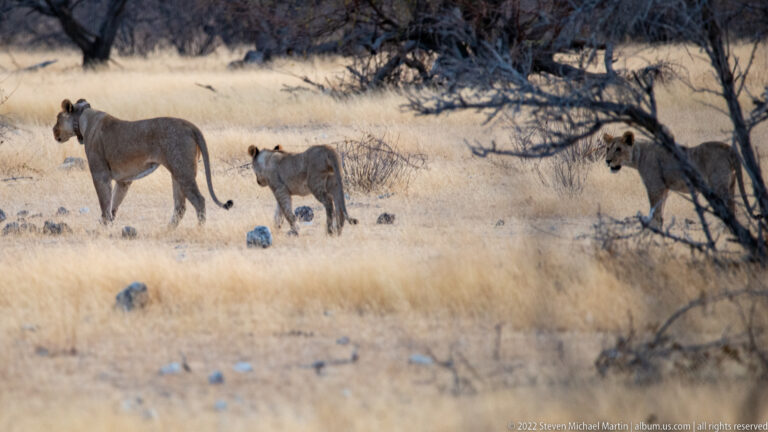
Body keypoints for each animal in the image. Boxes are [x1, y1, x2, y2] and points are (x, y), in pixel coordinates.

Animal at [53, 98, 233, 226]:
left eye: (57, 118)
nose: (53, 131)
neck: (84, 120)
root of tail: (191, 125)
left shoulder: (100, 174)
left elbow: (104, 201)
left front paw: (103, 225)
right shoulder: (124, 180)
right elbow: (114, 202)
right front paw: (110, 223)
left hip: (183, 171)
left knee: (199, 200)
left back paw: (198, 230)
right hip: (177, 172)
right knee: (180, 206)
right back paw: (166, 231)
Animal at [603, 131, 749, 228]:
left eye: (618, 149)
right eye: (608, 148)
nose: (607, 161)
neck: (639, 155)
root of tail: (729, 148)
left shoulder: (655, 187)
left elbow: (655, 212)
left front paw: (654, 230)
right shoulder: (665, 188)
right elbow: (660, 211)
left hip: (719, 185)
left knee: (729, 209)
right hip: (731, 184)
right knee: (733, 206)